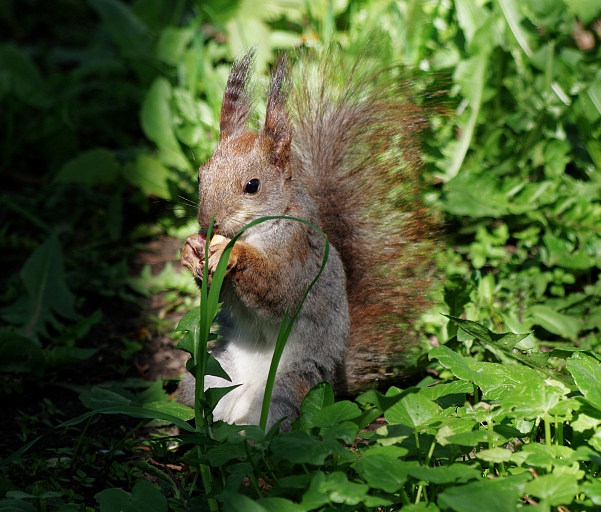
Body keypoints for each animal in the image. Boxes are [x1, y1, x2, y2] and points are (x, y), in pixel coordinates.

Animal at [178, 49, 436, 432]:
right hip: (209, 373)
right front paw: (191, 250)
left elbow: (278, 287)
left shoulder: (298, 254)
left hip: (287, 388)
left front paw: (231, 251)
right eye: (201, 174)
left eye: (252, 185)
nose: (208, 222)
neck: (257, 230)